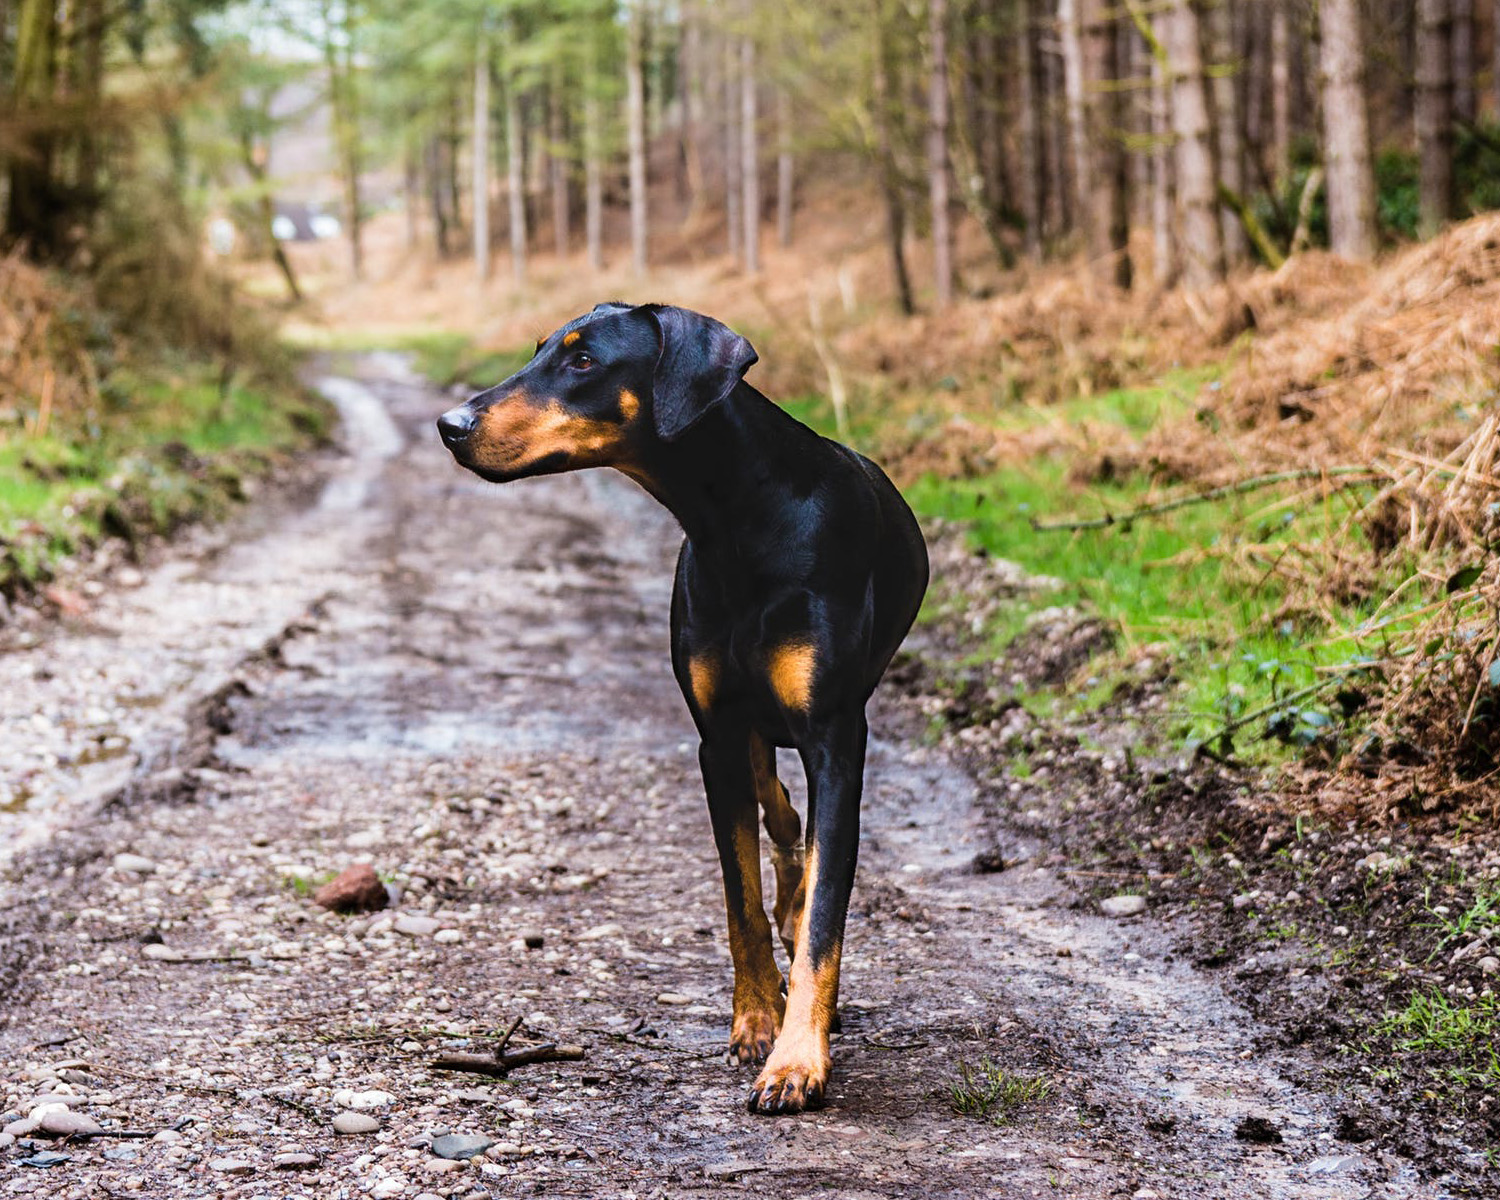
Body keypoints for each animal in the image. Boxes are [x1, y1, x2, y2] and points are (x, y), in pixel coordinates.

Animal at [435, 304, 924, 1110]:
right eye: (538, 350)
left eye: (583, 362)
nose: (449, 424)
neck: (738, 522)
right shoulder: (715, 738)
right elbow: (739, 899)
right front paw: (756, 1023)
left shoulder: (836, 738)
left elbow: (827, 916)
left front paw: (796, 1061)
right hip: (749, 733)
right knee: (778, 809)